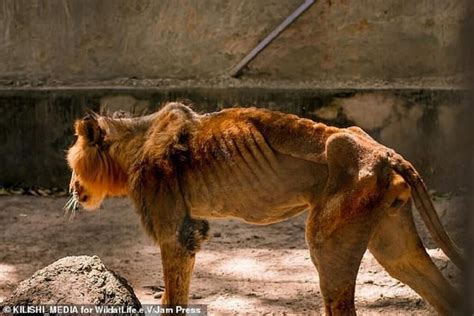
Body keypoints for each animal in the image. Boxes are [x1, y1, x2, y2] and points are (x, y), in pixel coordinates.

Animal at [65, 102, 462, 314]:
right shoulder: (192, 230)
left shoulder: (175, 233)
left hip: (325, 240)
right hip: (393, 244)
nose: (71, 188)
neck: (136, 141)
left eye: (71, 165)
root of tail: (385, 152)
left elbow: (173, 296)